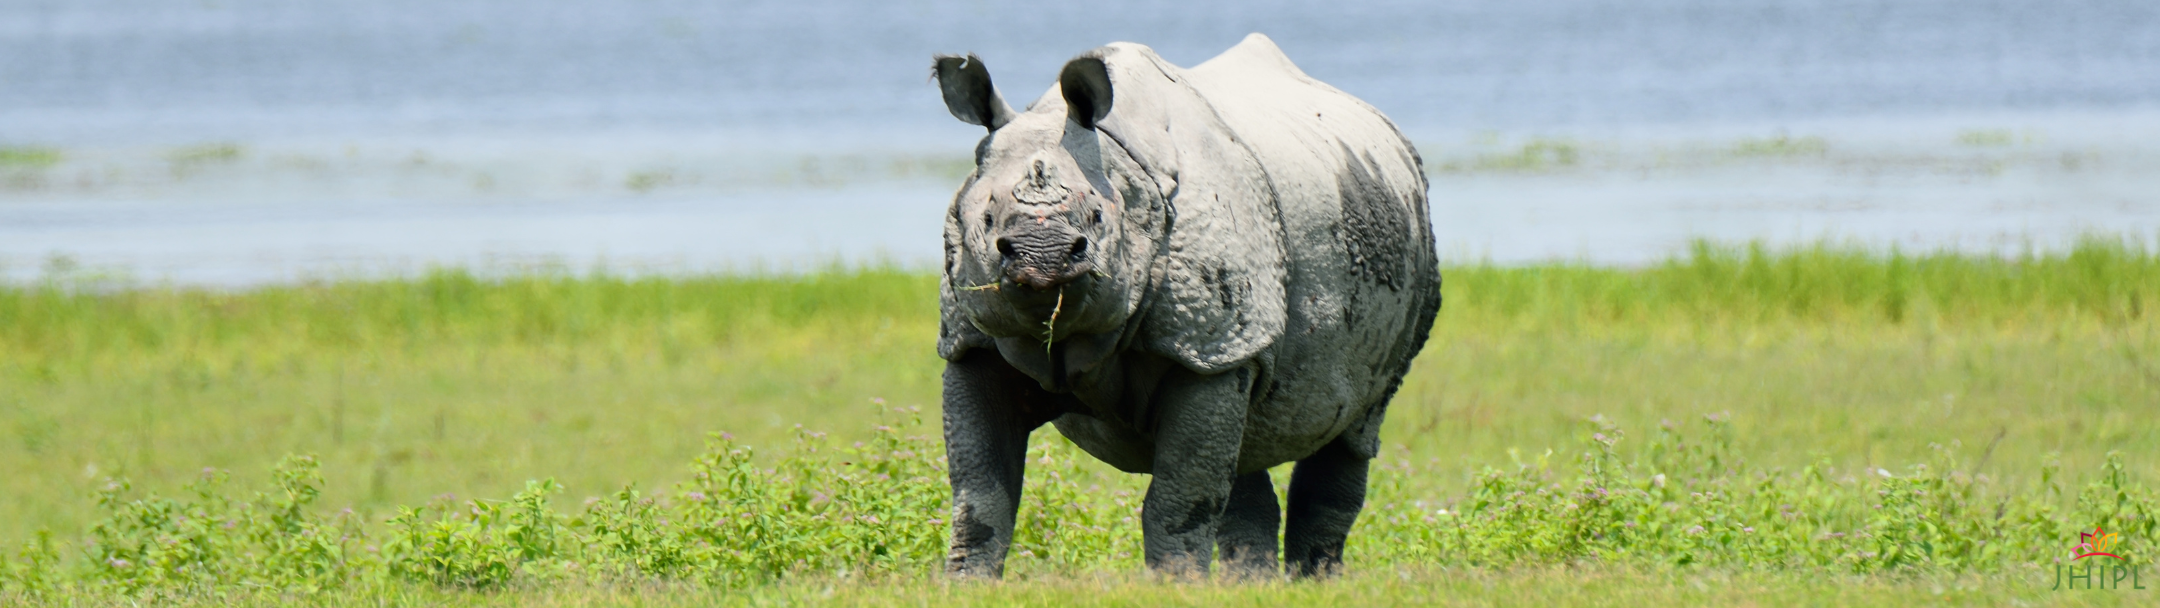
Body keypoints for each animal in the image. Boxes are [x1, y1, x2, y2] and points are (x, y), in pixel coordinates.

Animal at [932, 33, 1439, 579]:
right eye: (986, 219)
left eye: (1097, 217)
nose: (1041, 256)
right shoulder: (970, 340)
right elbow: (981, 492)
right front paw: (967, 583)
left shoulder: (1210, 345)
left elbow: (1180, 493)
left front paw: (1177, 584)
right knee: (1244, 446)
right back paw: (1252, 583)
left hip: (1407, 246)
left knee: (1355, 426)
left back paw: (1314, 581)